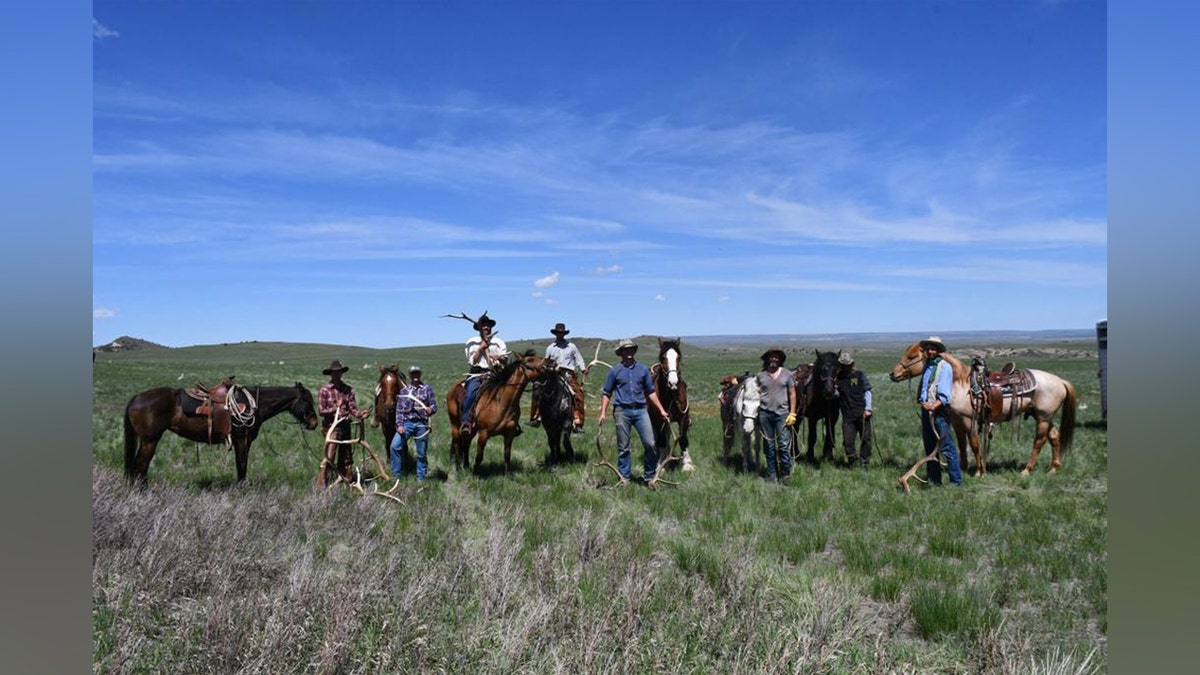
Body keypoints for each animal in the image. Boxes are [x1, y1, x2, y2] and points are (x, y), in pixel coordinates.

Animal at [124, 379, 319, 482]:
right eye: (306, 400)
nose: (314, 423)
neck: (254, 404)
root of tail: (136, 397)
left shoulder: (244, 440)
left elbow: (242, 464)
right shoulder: (241, 439)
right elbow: (242, 464)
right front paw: (242, 489)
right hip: (150, 440)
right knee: (141, 466)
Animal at [648, 333, 696, 468]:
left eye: (678, 357)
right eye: (663, 357)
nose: (673, 383)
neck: (672, 395)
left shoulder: (683, 418)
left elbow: (683, 439)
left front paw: (687, 464)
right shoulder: (659, 420)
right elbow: (662, 441)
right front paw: (661, 465)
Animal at [892, 341, 1080, 473]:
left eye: (911, 357)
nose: (893, 374)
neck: (960, 383)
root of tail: (1060, 381)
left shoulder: (969, 419)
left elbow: (974, 443)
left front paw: (979, 472)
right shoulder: (956, 421)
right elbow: (962, 444)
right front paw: (964, 468)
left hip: (1043, 417)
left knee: (1039, 442)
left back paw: (1027, 470)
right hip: (1043, 416)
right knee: (1054, 437)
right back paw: (1053, 469)